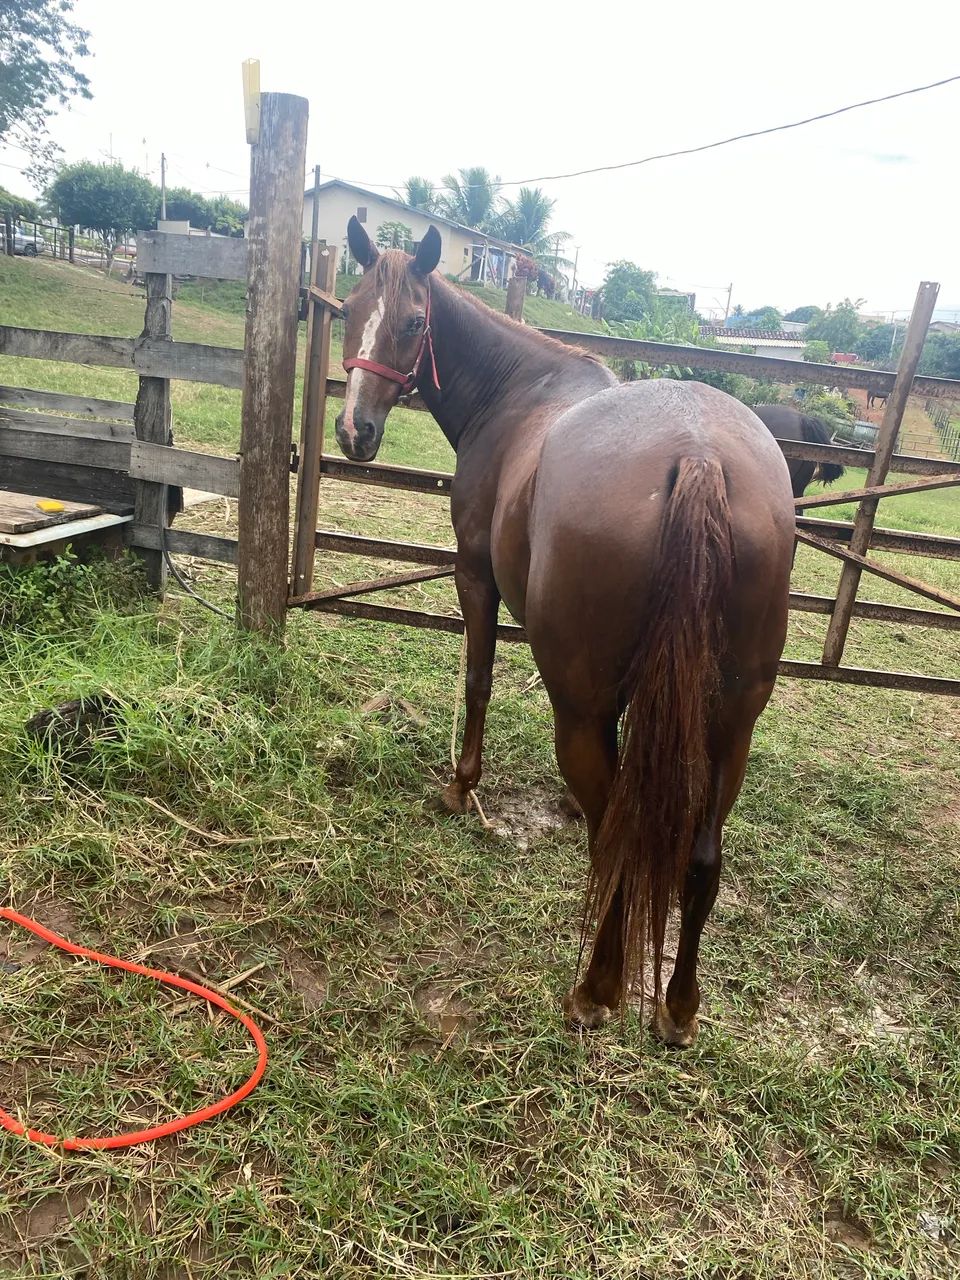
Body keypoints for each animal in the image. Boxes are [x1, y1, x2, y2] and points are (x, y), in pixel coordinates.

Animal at [336, 217, 795, 1045]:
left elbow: (478, 680)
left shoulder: (474, 576)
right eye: (350, 309)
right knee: (701, 859)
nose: (355, 428)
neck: (520, 392)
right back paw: (678, 1007)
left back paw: (596, 989)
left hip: (580, 709)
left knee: (619, 839)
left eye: (414, 323)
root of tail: (698, 453)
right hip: (731, 727)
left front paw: (461, 787)